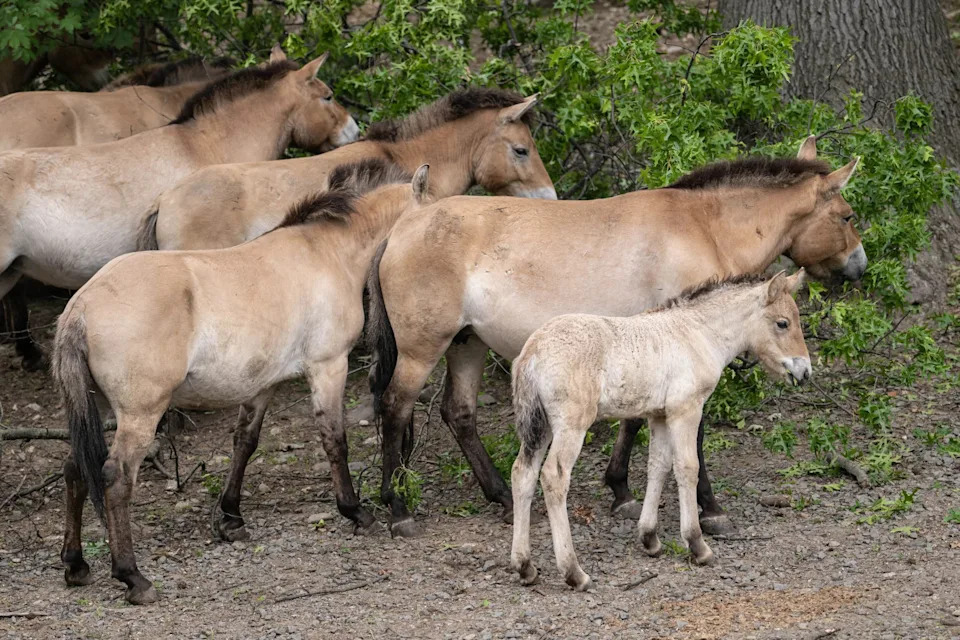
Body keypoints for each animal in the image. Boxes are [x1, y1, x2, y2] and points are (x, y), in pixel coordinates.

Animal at [52, 159, 430, 605]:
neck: (329, 252)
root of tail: (80, 307)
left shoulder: (262, 384)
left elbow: (244, 443)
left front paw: (231, 518)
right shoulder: (328, 366)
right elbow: (334, 440)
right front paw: (355, 511)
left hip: (93, 406)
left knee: (75, 467)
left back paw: (76, 564)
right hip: (140, 414)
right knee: (115, 478)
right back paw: (133, 577)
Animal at [365, 137, 864, 537]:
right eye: (846, 215)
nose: (859, 267)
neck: (704, 228)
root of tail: (404, 226)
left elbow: (634, 420)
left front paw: (620, 490)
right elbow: (692, 436)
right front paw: (710, 509)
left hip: (467, 344)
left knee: (460, 413)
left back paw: (503, 498)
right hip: (421, 351)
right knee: (395, 408)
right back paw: (398, 509)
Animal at [509, 270, 810, 591]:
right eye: (783, 323)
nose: (805, 371)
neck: (698, 334)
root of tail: (532, 352)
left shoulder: (660, 416)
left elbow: (658, 466)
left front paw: (650, 539)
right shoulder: (685, 410)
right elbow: (687, 468)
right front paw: (697, 545)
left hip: (540, 426)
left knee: (523, 473)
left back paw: (525, 567)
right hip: (571, 424)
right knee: (554, 477)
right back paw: (573, 572)